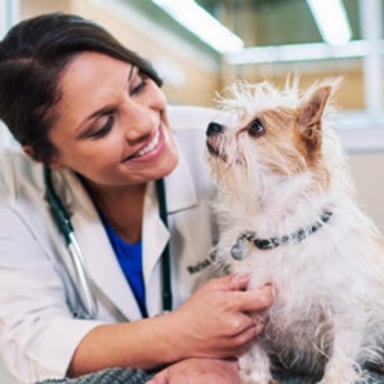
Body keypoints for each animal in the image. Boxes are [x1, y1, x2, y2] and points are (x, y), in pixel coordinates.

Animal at [207, 79, 384, 382]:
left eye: (256, 127)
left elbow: (340, 357)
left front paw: (335, 378)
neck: (280, 233)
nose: (211, 126)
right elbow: (255, 355)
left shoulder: (349, 310)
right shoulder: (250, 307)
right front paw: (256, 376)